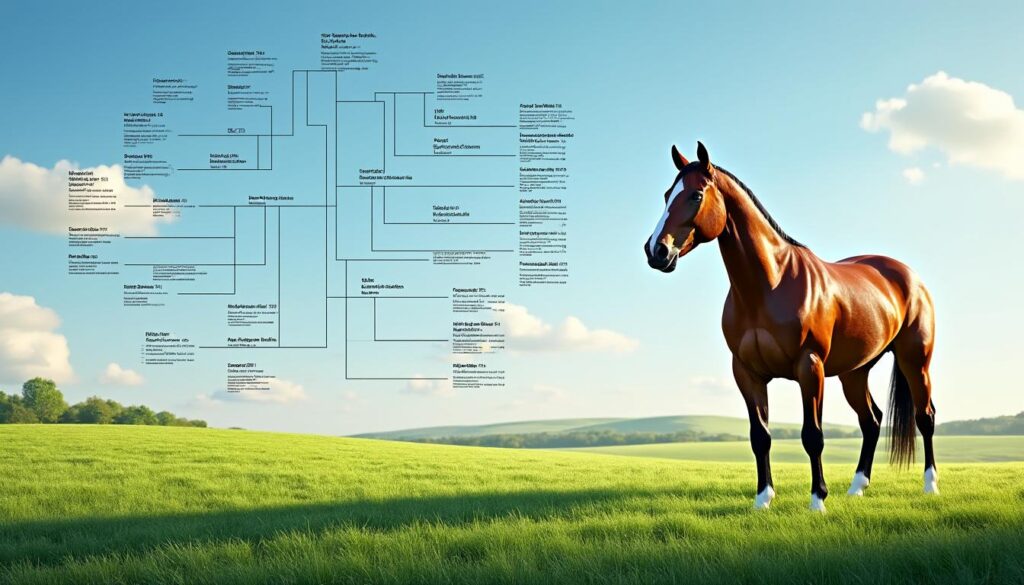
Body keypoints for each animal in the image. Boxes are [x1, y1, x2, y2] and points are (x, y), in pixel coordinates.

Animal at [643, 142, 937, 512]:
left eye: (695, 195)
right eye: (667, 194)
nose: (656, 250)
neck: (770, 284)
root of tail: (909, 276)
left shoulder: (808, 367)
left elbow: (813, 436)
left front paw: (818, 500)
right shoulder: (747, 373)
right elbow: (760, 437)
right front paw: (763, 500)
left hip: (915, 361)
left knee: (925, 417)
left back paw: (930, 486)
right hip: (854, 373)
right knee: (871, 421)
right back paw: (857, 487)